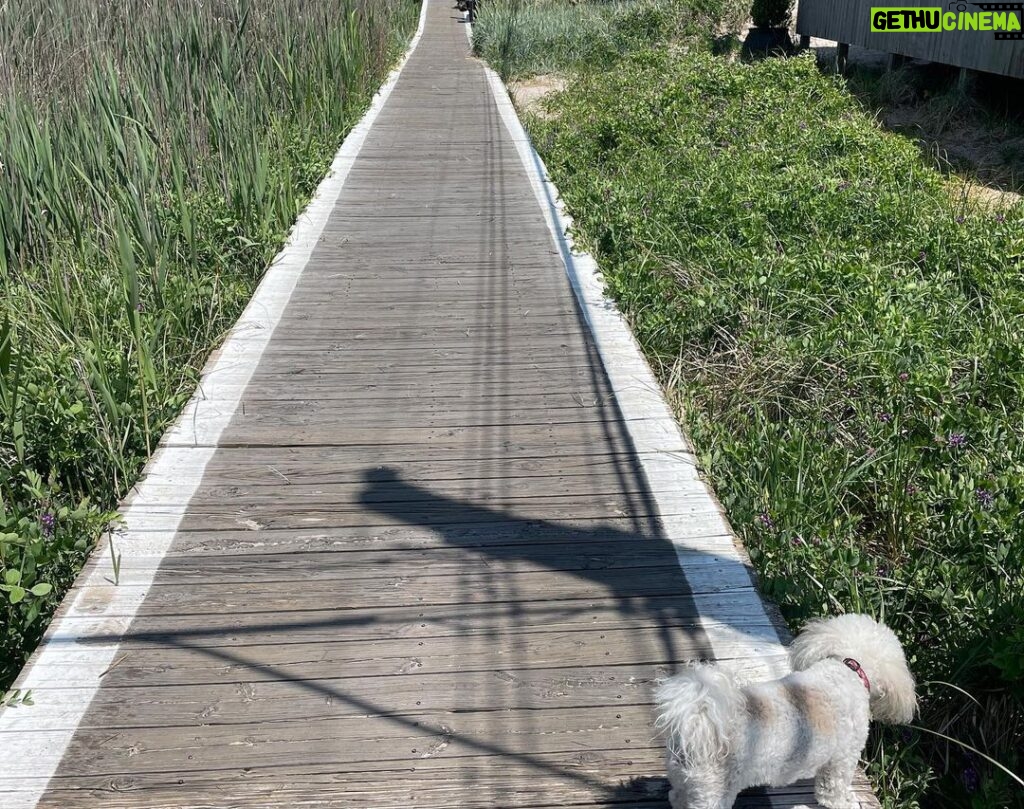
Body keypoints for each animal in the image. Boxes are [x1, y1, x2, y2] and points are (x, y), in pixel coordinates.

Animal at [655, 614, 921, 809]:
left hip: (684, 782)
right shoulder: (841, 760)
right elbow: (833, 794)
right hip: (713, 793)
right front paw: (847, 802)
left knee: (676, 798)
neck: (846, 668)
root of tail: (696, 717)